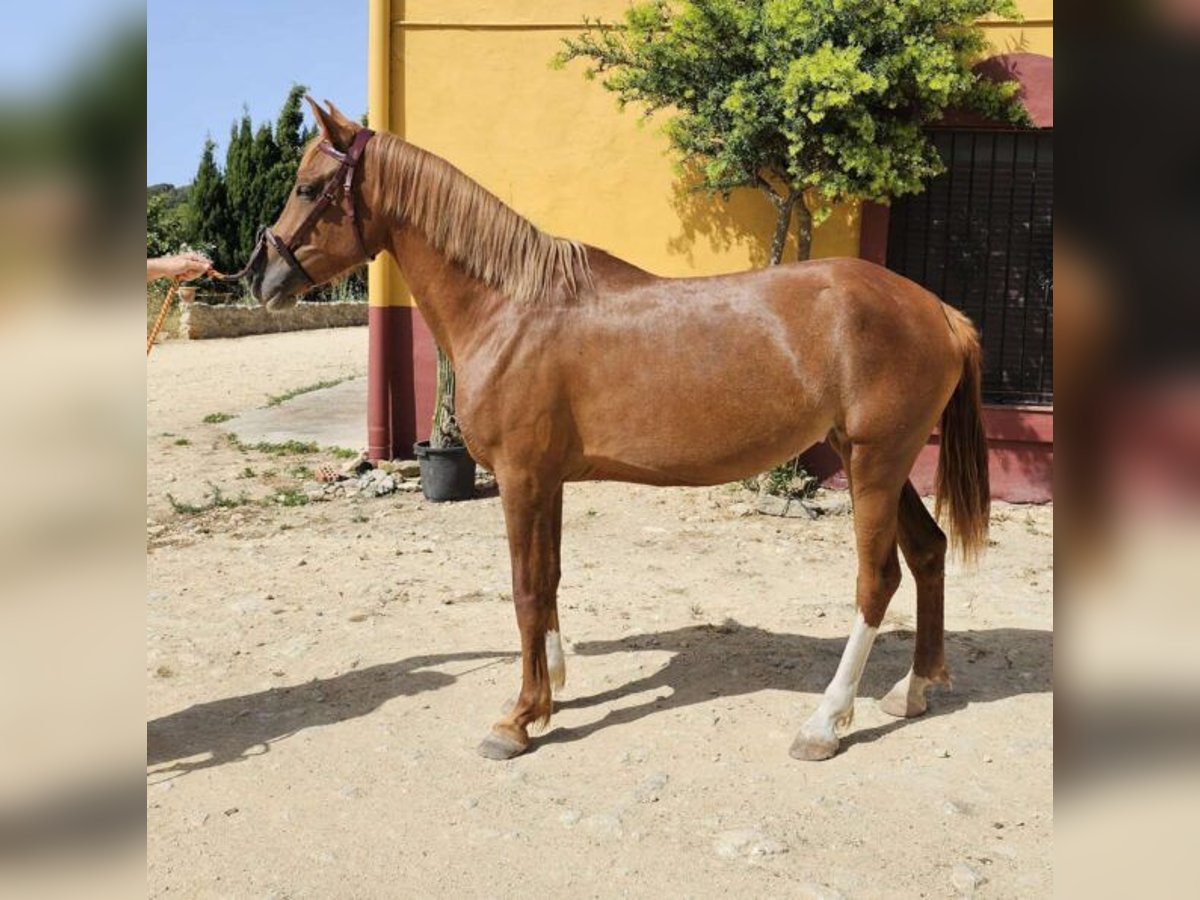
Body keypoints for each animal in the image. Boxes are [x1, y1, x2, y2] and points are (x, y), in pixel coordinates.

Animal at [246, 98, 993, 763]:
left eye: (309, 187)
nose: (261, 275)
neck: (512, 307)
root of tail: (938, 310)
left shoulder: (520, 477)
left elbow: (524, 589)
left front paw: (517, 720)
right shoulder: (546, 480)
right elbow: (547, 580)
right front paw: (549, 693)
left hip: (874, 465)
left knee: (878, 580)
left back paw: (825, 723)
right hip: (881, 463)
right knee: (928, 553)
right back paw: (913, 689)